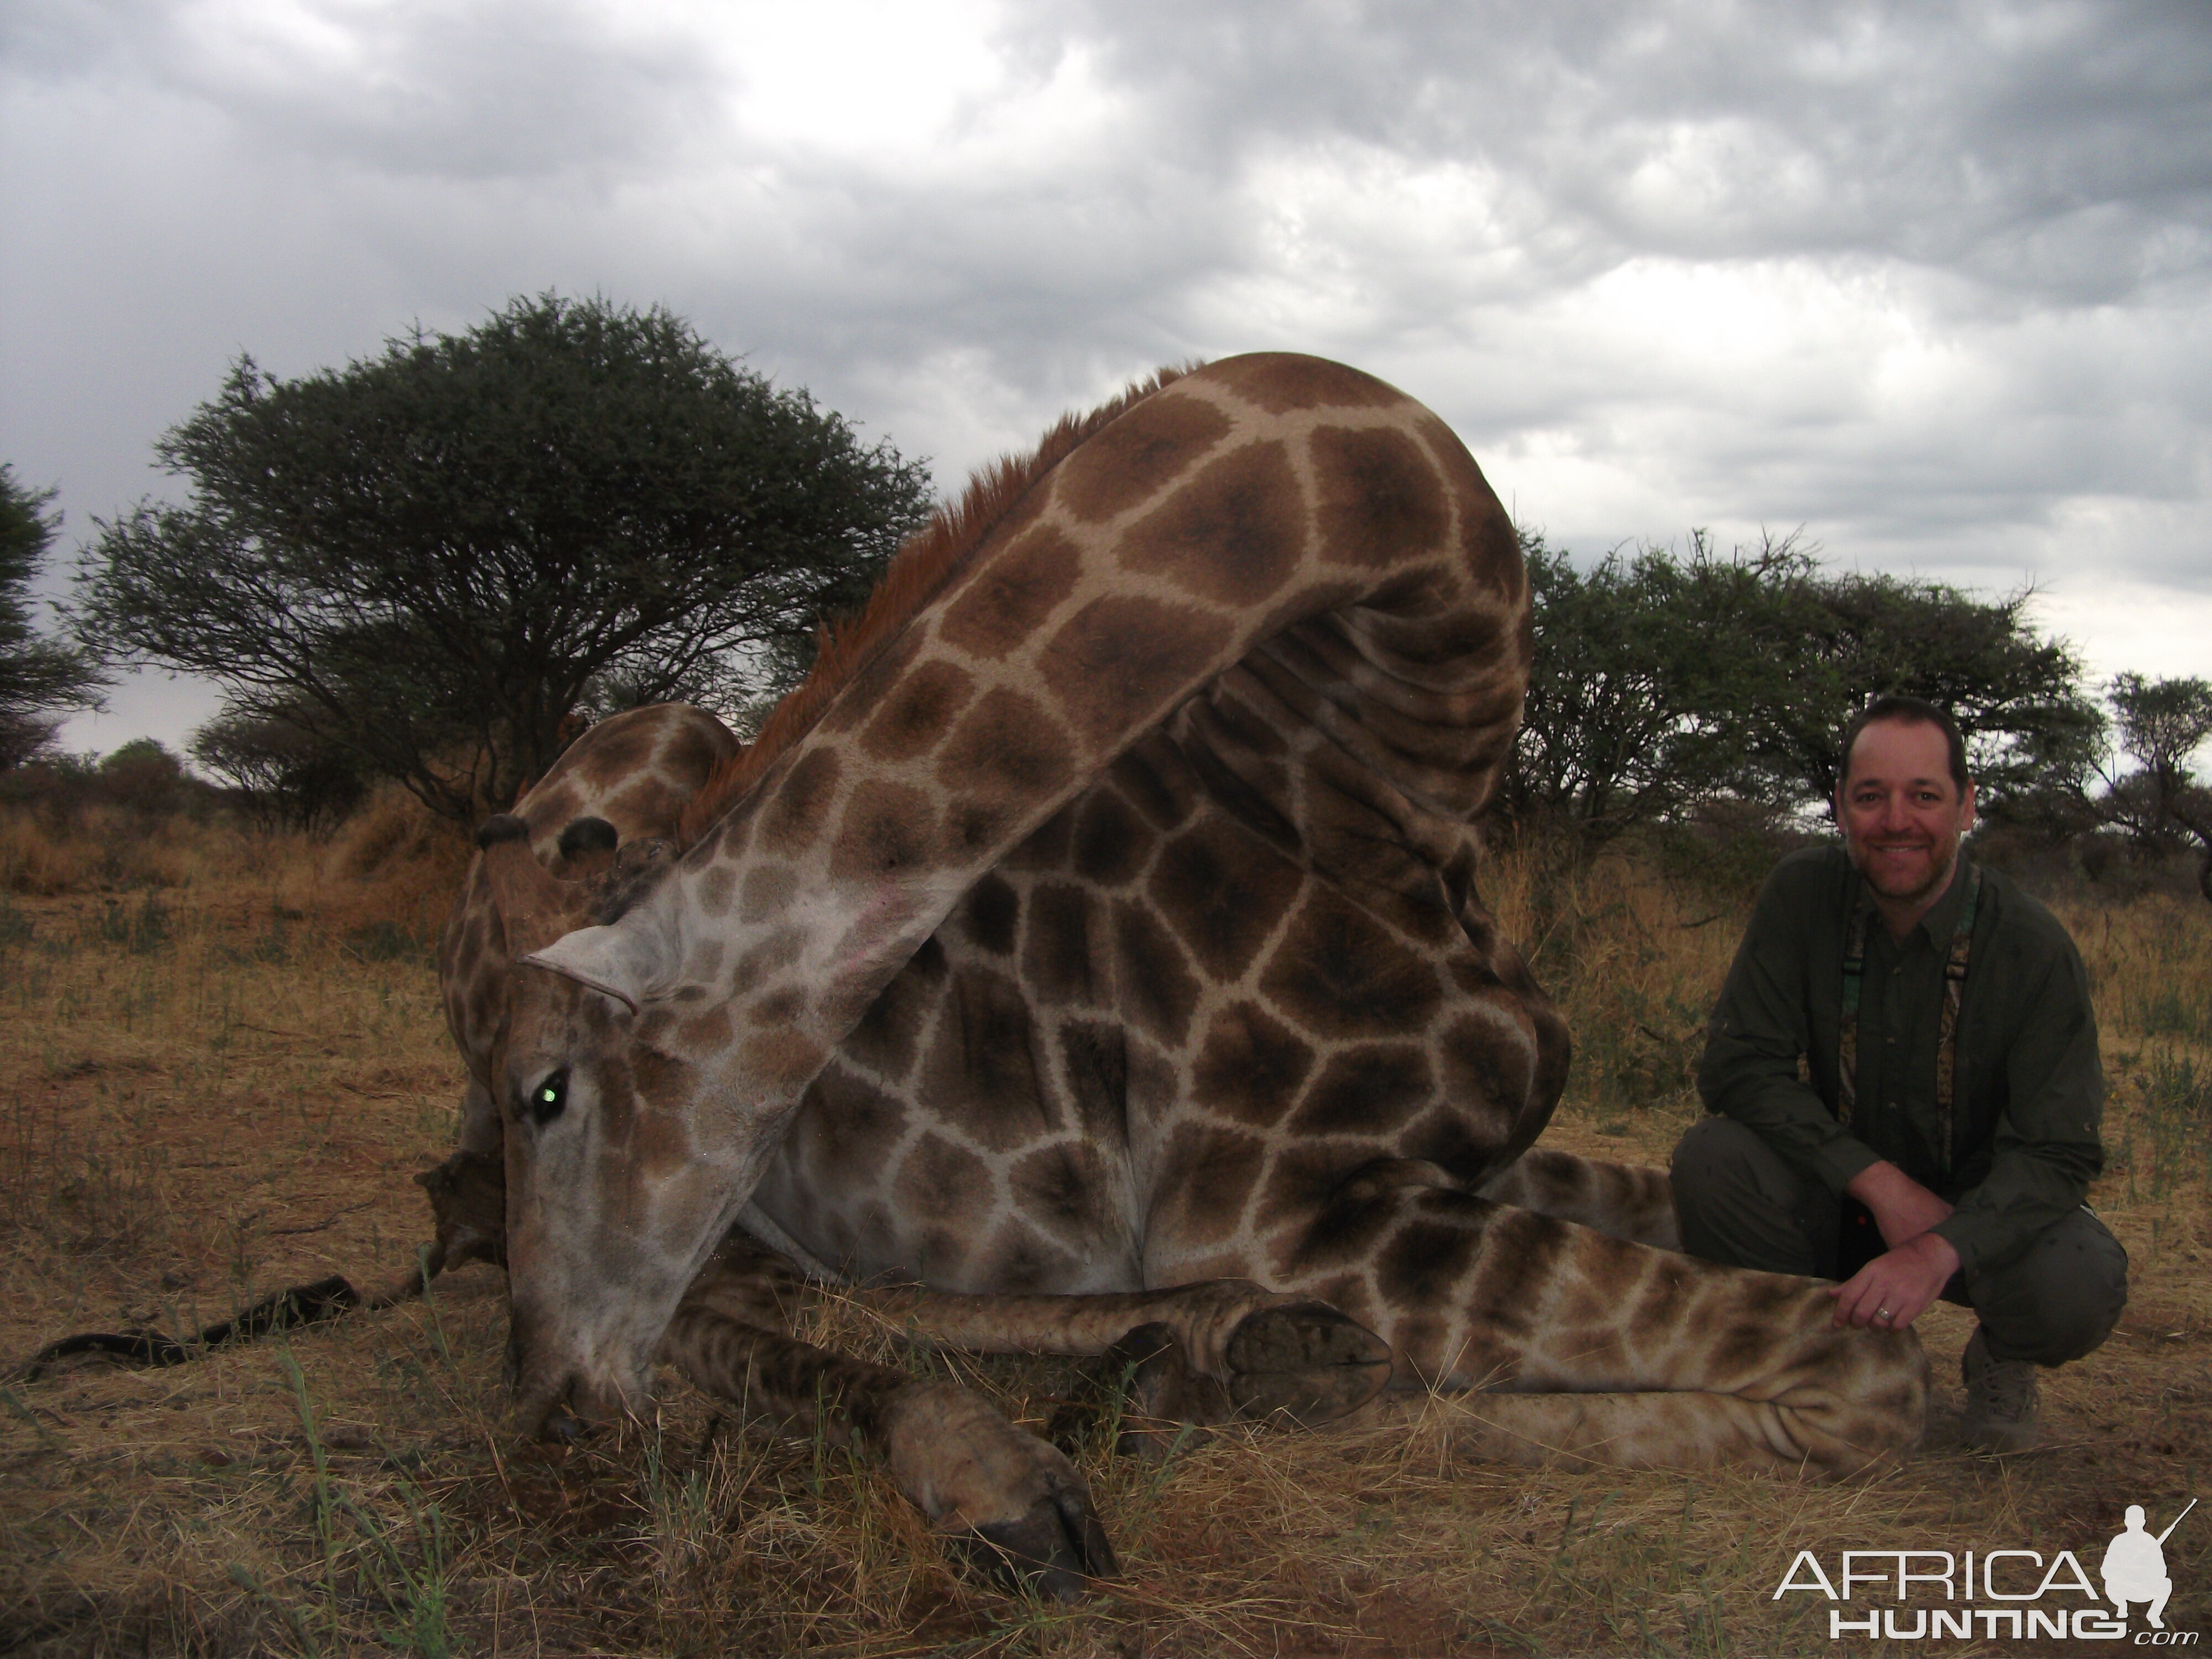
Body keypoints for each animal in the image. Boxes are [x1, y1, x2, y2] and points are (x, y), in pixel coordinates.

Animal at [476, 354, 1929, 1584]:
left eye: (550, 1095)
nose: (546, 1404)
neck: (1386, 787)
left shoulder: (1464, 1157)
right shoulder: (1287, 1209)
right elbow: (1866, 1373)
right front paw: (1295, 1398)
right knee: (754, 1302)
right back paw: (1059, 1448)